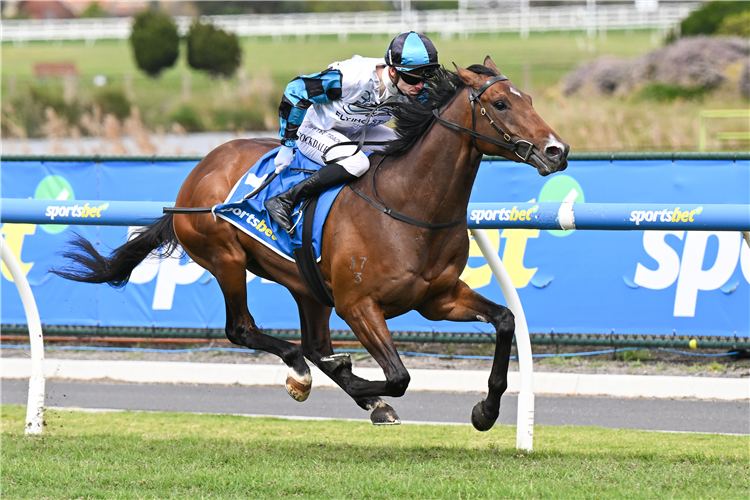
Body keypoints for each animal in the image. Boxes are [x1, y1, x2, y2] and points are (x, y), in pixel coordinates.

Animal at [53, 57, 569, 430]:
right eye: (500, 105)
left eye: (527, 98)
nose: (557, 151)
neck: (410, 205)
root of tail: (197, 172)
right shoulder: (358, 305)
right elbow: (398, 377)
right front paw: (362, 388)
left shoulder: (437, 298)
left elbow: (505, 321)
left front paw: (485, 411)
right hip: (225, 257)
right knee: (246, 331)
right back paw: (304, 373)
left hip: (306, 286)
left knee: (314, 343)